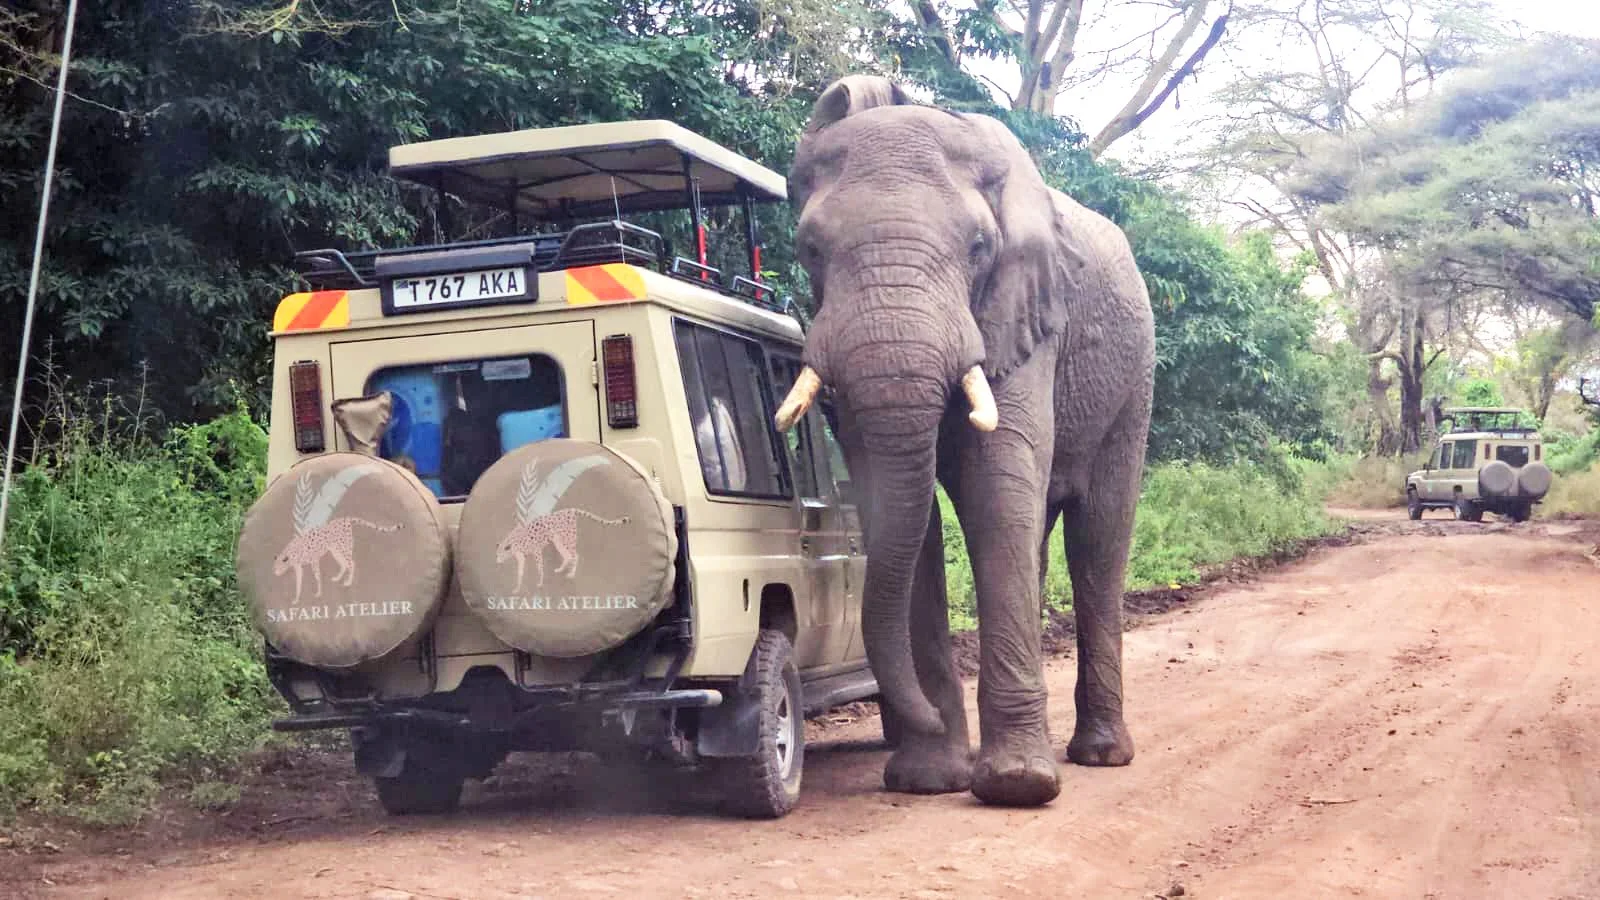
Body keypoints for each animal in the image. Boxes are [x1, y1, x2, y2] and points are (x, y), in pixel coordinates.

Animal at [773, 75, 1156, 807]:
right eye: (808, 250)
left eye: (980, 248)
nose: (904, 718)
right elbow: (902, 513)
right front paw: (927, 780)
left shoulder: (1026, 315)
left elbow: (997, 488)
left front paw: (1016, 787)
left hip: (1136, 379)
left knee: (1098, 537)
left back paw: (1101, 756)